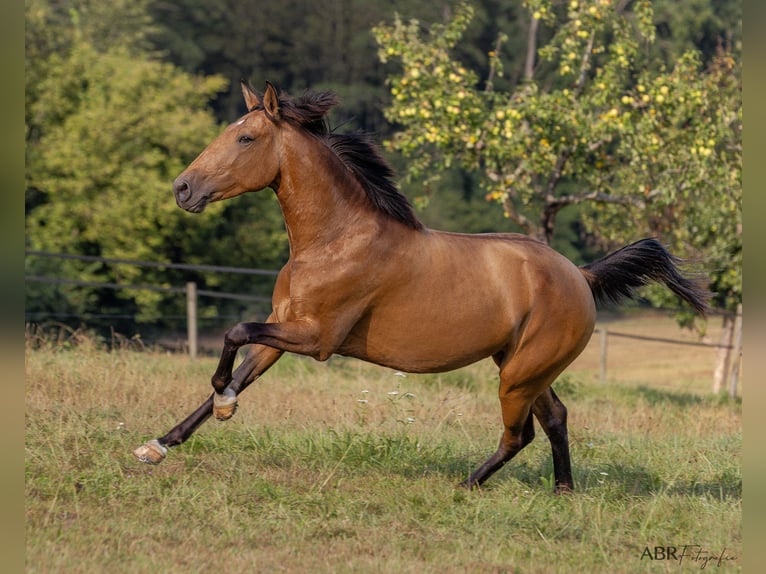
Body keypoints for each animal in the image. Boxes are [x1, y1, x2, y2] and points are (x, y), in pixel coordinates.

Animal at [134, 81, 709, 492]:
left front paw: (223, 403)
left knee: (520, 432)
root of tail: (580, 276)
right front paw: (158, 445)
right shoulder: (283, 328)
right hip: (525, 367)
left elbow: (233, 333)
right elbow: (238, 370)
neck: (336, 237)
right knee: (556, 418)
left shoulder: (316, 339)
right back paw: (562, 493)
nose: (182, 188)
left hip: (518, 375)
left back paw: (467, 485)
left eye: (246, 138)